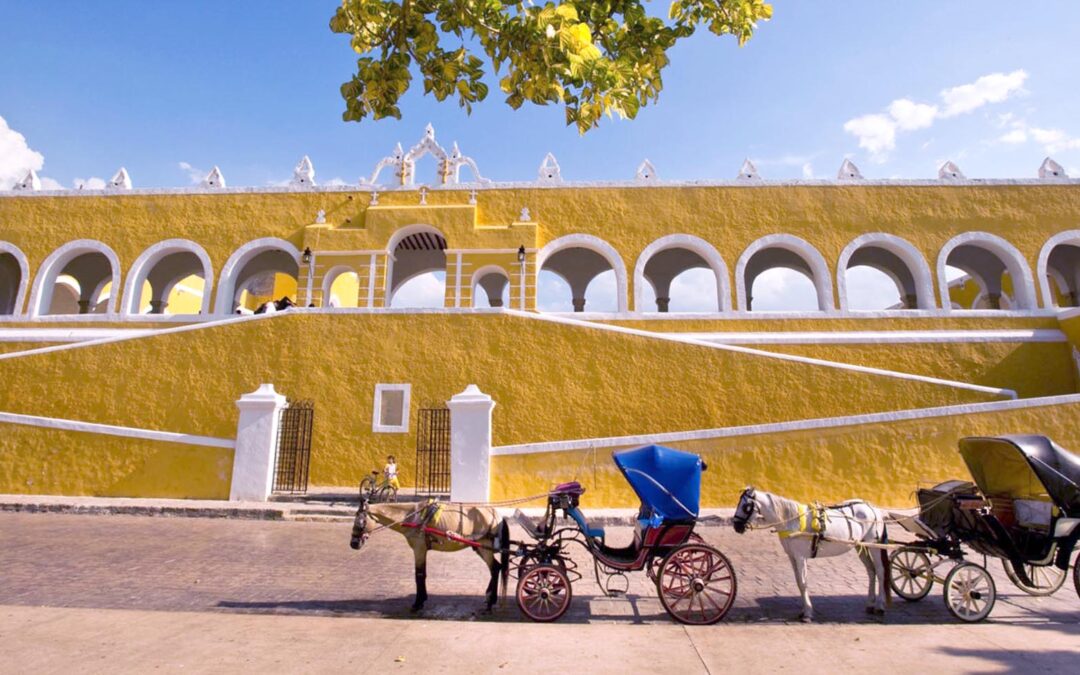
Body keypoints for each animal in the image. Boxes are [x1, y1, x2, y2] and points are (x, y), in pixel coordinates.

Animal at [734, 483, 894, 622]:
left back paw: (879, 606)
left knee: (880, 570)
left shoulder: (800, 556)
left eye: (746, 506)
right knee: (871, 571)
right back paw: (870, 604)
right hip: (861, 546)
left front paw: (807, 613)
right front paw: (803, 611)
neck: (791, 520)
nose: (736, 526)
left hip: (874, 544)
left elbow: (803, 583)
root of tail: (873, 508)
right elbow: (798, 582)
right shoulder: (792, 556)